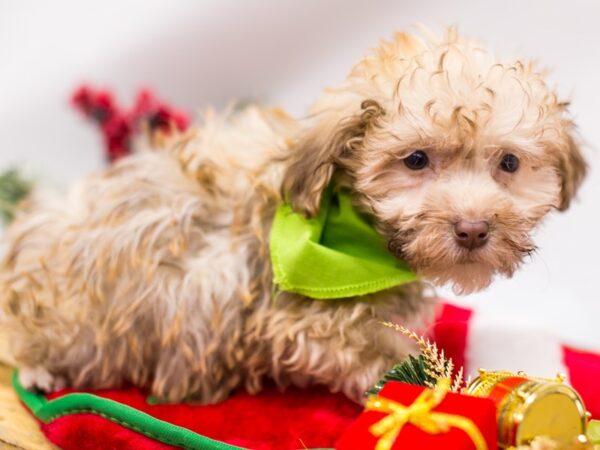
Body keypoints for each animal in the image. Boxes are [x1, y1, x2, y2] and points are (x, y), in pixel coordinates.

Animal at [0, 29, 584, 404]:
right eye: (416, 160)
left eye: (508, 163)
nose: (473, 229)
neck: (350, 231)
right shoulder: (294, 321)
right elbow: (368, 355)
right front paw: (420, 383)